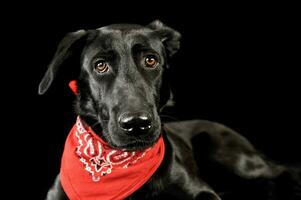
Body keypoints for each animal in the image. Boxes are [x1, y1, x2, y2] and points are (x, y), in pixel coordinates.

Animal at [38, 20, 298, 200]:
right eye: (100, 65)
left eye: (151, 60)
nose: (137, 124)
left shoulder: (201, 190)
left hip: (229, 156)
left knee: (282, 171)